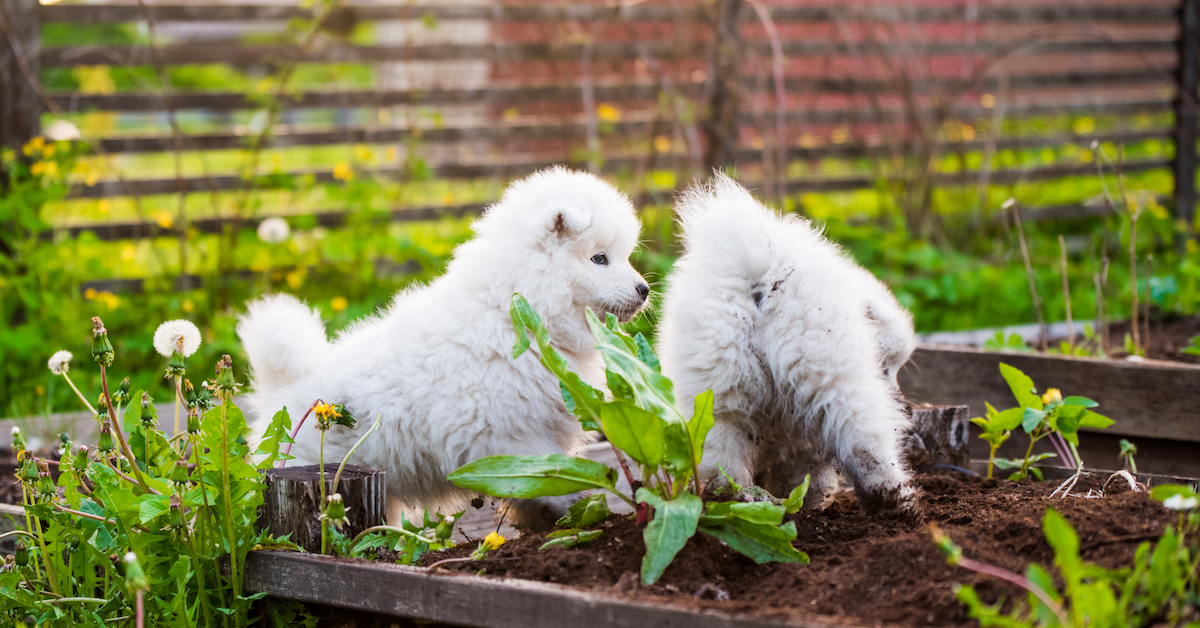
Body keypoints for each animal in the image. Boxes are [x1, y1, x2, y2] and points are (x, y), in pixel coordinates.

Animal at [235, 168, 648, 530]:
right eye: (599, 258)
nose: (644, 289)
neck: (512, 313)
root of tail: (285, 387)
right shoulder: (500, 432)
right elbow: (535, 472)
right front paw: (567, 504)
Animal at [657, 174, 916, 523]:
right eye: (885, 367)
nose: (906, 406)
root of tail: (761, 275)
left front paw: (800, 500)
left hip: (716, 393)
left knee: (719, 456)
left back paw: (733, 501)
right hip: (837, 379)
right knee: (866, 443)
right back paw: (896, 503)